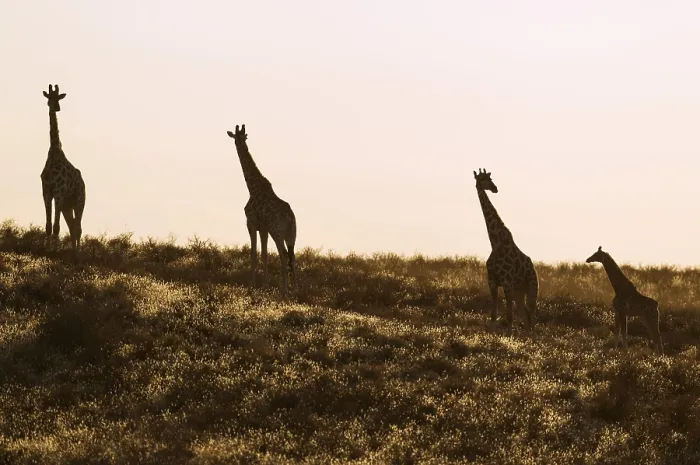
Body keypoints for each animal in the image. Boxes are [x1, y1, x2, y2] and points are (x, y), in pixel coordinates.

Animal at [41, 84, 86, 256]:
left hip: (79, 200)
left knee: (78, 227)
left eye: (58, 97)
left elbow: (56, 227)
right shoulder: (46, 191)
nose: (56, 107)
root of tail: (83, 182)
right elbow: (48, 226)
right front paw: (46, 250)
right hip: (68, 205)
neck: (54, 153)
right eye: (49, 97)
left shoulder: (59, 192)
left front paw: (54, 251)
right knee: (72, 226)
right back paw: (73, 251)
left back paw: (77, 253)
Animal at [226, 124, 297, 298]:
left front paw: (252, 285)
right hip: (291, 234)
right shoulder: (263, 227)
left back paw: (284, 291)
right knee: (292, 257)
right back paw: (295, 289)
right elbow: (264, 254)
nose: (240, 145)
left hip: (277, 232)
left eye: (238, 138)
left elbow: (253, 253)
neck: (252, 187)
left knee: (283, 255)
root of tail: (290, 218)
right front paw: (265, 285)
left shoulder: (251, 223)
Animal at [474, 168, 539, 331]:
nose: (495, 188)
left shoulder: (507, 282)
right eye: (482, 179)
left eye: (490, 179)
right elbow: (494, 315)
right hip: (519, 292)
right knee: (526, 315)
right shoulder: (492, 282)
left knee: (532, 316)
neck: (495, 243)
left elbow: (509, 318)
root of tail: (534, 268)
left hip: (532, 288)